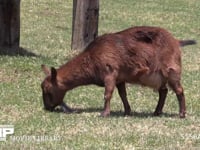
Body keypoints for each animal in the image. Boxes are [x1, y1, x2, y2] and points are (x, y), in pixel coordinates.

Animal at [40, 25, 195, 118]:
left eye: (48, 90)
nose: (47, 107)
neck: (92, 56)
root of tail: (176, 41)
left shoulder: (110, 74)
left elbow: (107, 94)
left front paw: (104, 113)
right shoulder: (120, 79)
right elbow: (123, 95)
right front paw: (127, 111)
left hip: (171, 71)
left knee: (179, 90)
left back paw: (182, 114)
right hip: (159, 76)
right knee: (164, 91)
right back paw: (157, 112)